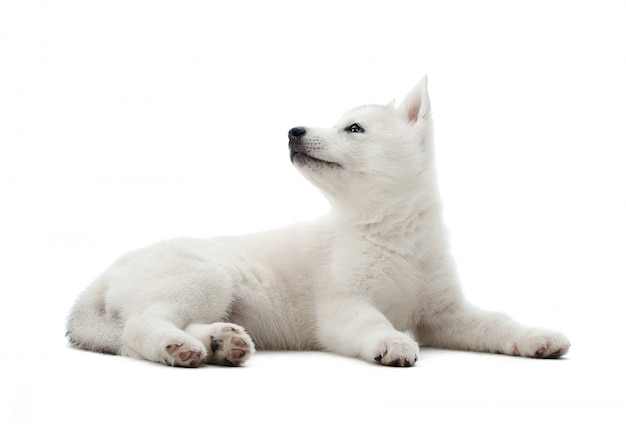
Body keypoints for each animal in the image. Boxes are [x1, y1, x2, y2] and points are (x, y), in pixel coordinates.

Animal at [68, 78, 572, 368]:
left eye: (354, 129)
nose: (293, 131)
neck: (390, 233)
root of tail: (102, 277)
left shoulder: (444, 312)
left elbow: (495, 322)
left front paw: (534, 336)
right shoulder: (342, 304)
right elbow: (372, 321)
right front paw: (391, 343)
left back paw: (221, 343)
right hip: (204, 277)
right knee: (137, 328)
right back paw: (179, 347)